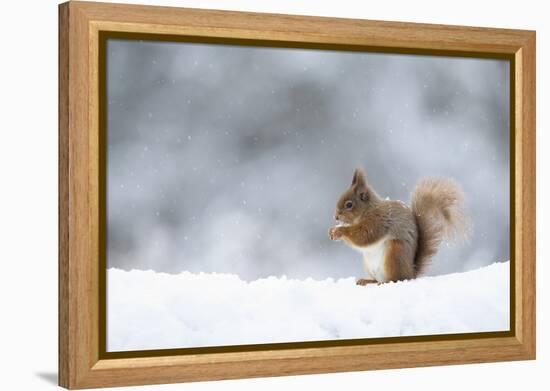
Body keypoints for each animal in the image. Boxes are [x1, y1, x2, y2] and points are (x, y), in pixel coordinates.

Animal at [330, 168, 468, 284]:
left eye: (349, 204)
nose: (336, 217)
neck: (368, 210)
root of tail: (411, 273)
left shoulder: (378, 221)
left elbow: (364, 235)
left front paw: (339, 231)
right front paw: (331, 231)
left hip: (395, 253)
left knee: (396, 279)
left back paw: (385, 282)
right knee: (377, 279)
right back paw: (367, 281)